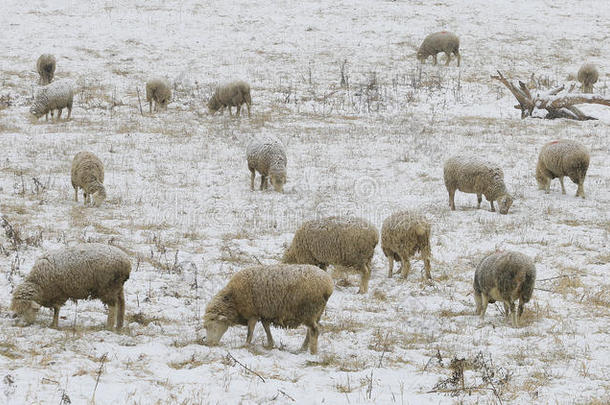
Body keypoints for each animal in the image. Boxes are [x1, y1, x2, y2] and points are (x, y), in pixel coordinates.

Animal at [203, 262, 332, 354]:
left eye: (211, 325)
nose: (209, 344)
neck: (233, 299)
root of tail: (328, 285)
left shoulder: (253, 314)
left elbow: (250, 331)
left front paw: (246, 345)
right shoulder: (265, 313)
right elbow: (266, 327)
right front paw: (270, 344)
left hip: (309, 310)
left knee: (314, 330)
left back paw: (313, 352)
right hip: (316, 313)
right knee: (310, 331)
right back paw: (303, 348)